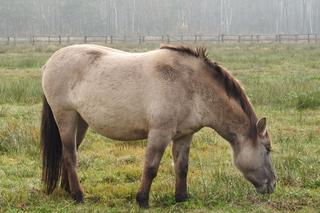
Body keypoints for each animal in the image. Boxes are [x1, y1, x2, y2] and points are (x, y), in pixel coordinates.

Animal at [40, 43, 276, 208]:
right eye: (267, 149)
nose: (273, 184)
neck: (190, 85)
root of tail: (51, 61)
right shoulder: (159, 134)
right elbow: (151, 167)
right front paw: (142, 200)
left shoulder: (184, 136)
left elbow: (182, 167)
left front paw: (181, 198)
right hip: (66, 118)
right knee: (70, 156)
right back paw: (79, 196)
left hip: (81, 122)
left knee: (68, 153)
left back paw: (68, 190)